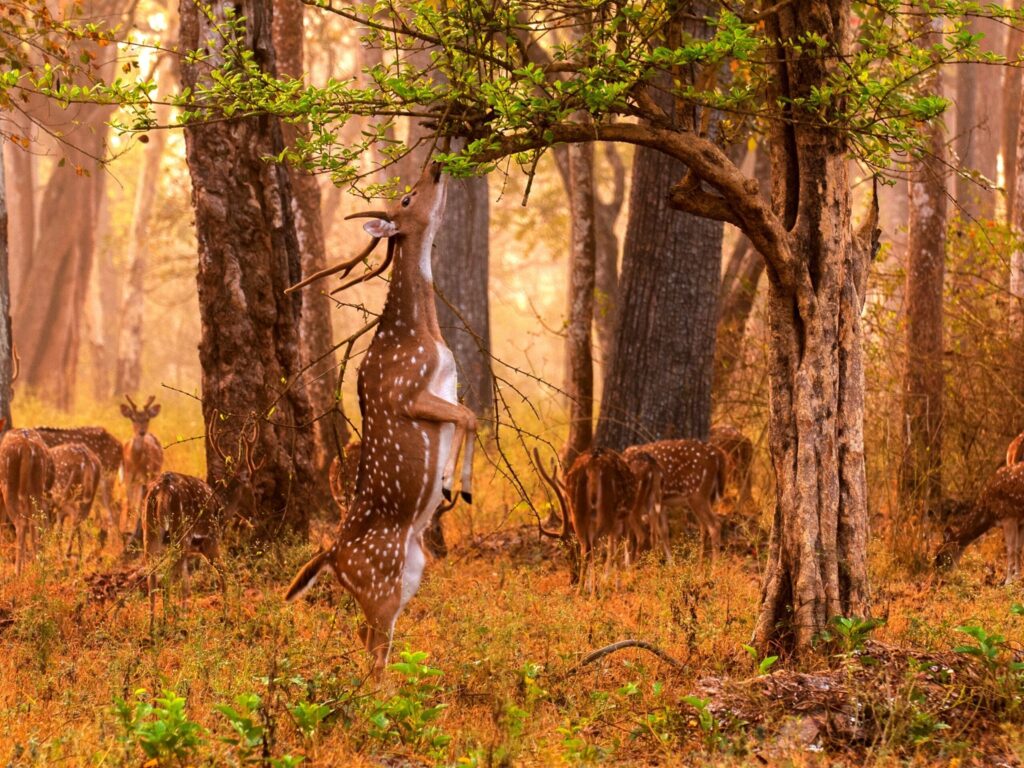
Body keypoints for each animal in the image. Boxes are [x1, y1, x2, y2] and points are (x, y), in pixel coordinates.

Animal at [0, 423, 55, 573]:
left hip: (8, 485)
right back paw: (37, 566)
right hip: (37, 485)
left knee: (20, 522)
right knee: (34, 521)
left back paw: (18, 571)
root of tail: (26, 447)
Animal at [120, 393, 162, 536]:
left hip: (153, 475)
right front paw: (126, 529)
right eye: (133, 418)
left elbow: (140, 504)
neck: (135, 461)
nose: (141, 432)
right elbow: (129, 505)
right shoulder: (128, 477)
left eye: (147, 418)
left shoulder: (145, 477)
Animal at [284, 160, 475, 671]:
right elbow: (468, 417)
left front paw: (455, 485)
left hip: (409, 575)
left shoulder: (446, 389)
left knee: (366, 640)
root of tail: (330, 557)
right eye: (407, 199)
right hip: (381, 583)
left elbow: (469, 414)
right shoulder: (407, 392)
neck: (422, 334)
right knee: (372, 652)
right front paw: (452, 484)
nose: (437, 165)